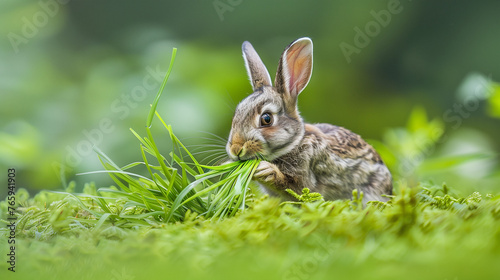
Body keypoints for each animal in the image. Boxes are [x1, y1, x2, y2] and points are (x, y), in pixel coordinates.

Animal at [225, 37, 392, 203]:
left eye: (266, 119)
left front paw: (265, 169)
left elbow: (292, 186)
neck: (295, 143)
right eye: (236, 114)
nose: (235, 149)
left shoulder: (306, 177)